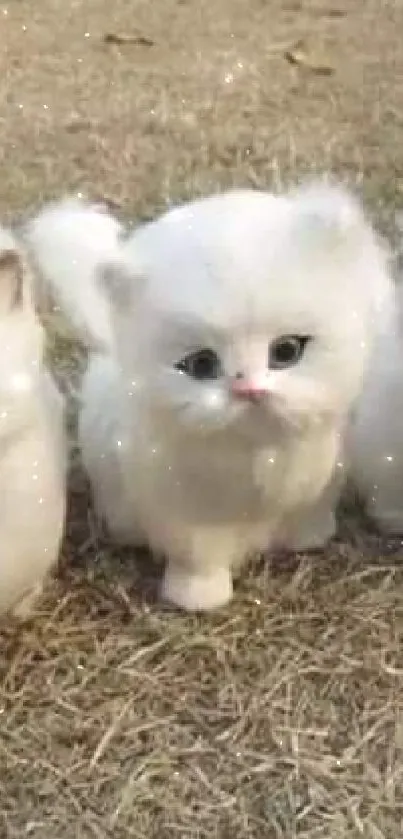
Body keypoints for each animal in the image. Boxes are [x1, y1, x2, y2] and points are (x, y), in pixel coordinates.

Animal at [26, 182, 392, 612]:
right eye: (201, 365)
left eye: (286, 351)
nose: (248, 389)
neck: (258, 449)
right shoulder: (189, 519)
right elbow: (199, 560)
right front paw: (198, 599)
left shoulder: (318, 483)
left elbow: (308, 518)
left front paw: (309, 541)